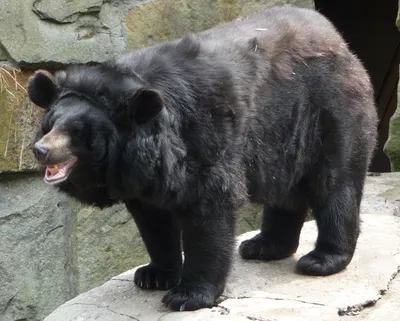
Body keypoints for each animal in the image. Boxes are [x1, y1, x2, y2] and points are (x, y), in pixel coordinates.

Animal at [27, 5, 378, 310]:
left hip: (330, 111)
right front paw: (154, 275)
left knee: (335, 184)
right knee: (286, 190)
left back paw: (321, 259)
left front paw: (187, 295)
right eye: (50, 123)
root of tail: (341, 42)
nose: (41, 150)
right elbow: (153, 222)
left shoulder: (204, 132)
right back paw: (263, 245)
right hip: (284, 134)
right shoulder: (144, 177)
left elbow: (209, 207)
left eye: (78, 132)